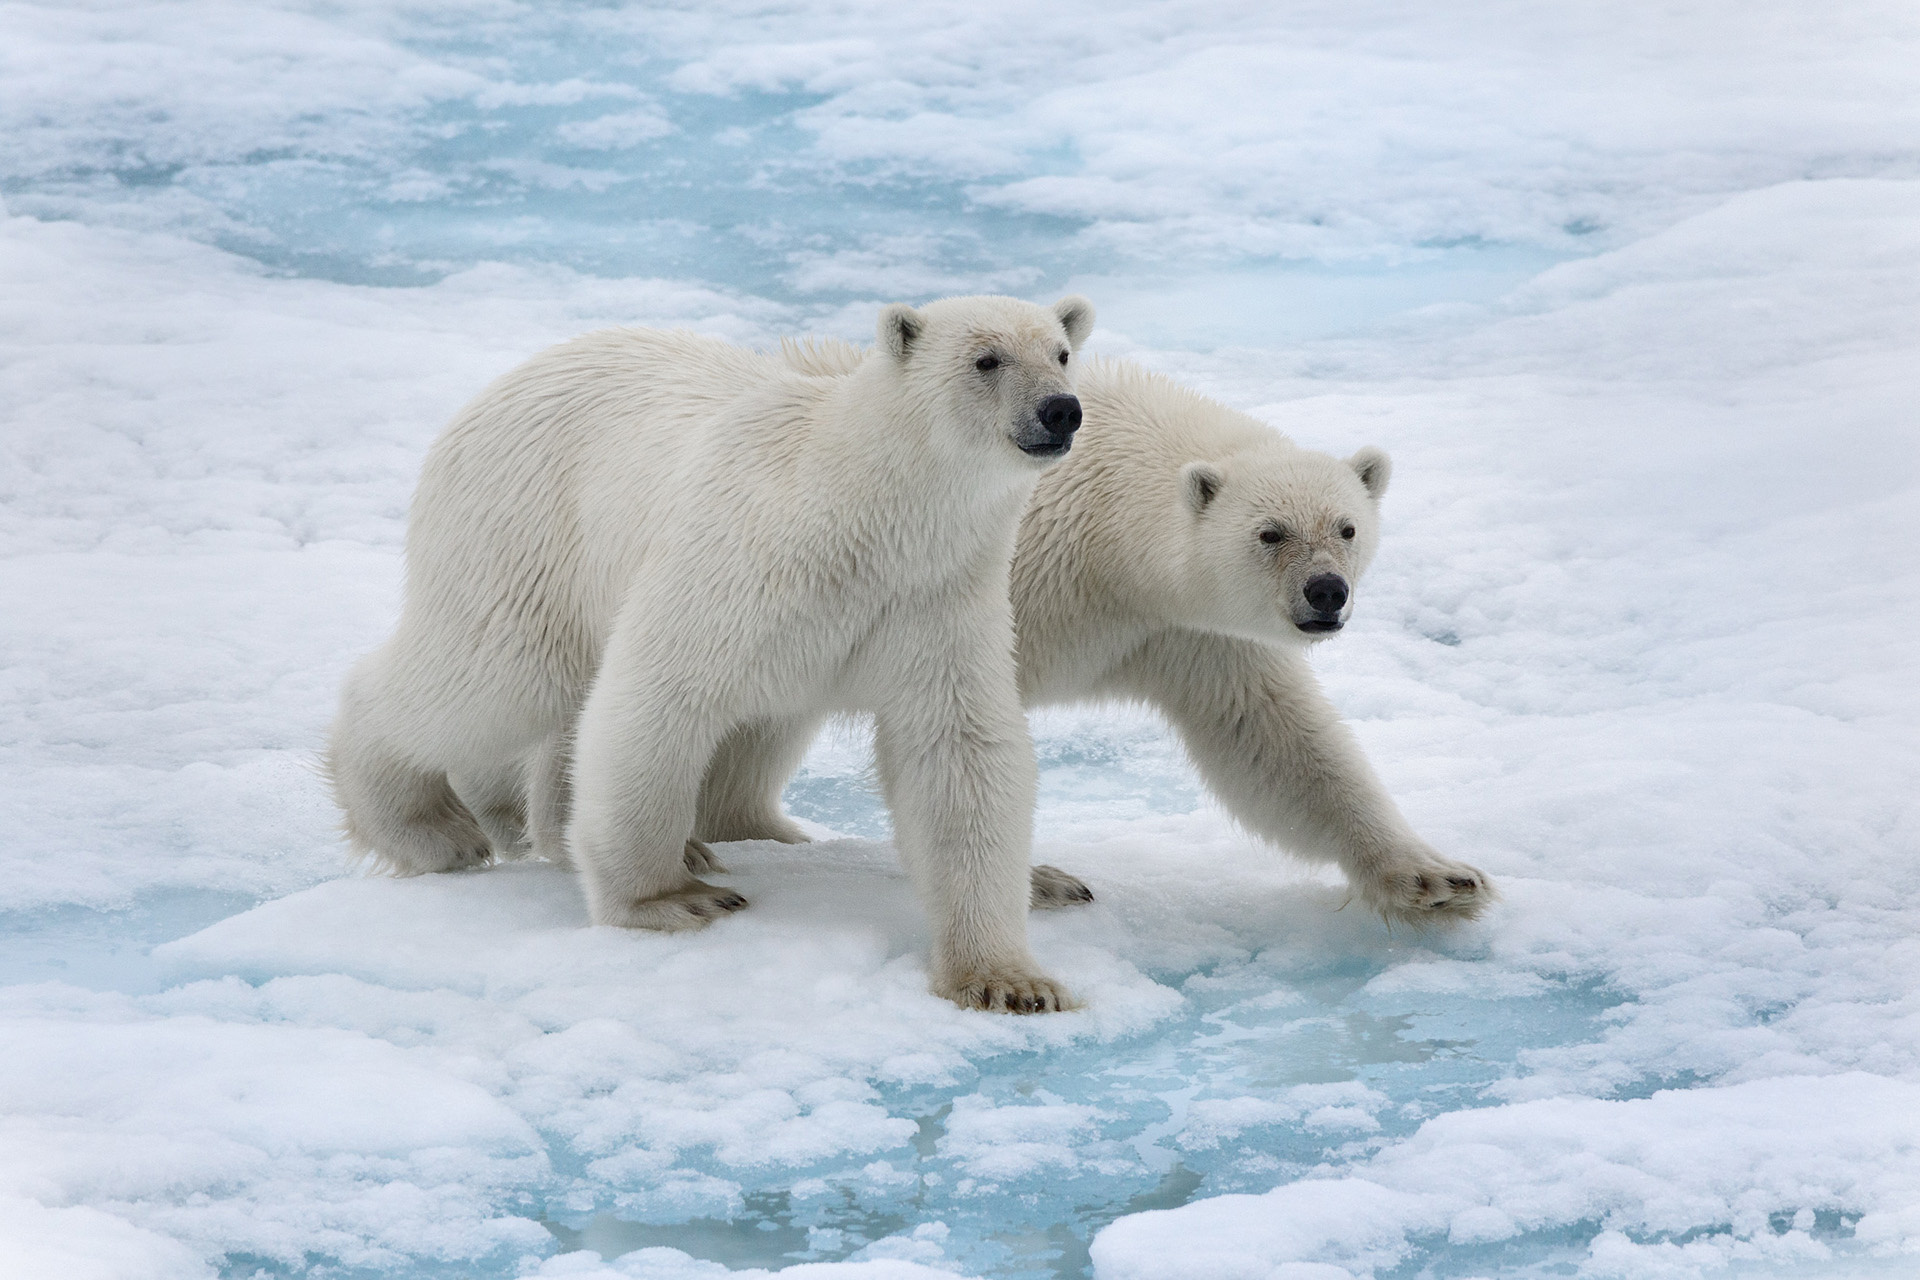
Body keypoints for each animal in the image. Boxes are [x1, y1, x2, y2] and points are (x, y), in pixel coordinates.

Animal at [330, 295, 1098, 1013]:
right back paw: (428, 828)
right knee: (486, 679)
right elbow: (659, 695)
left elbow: (960, 752)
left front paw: (1010, 980)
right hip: (522, 529)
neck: (859, 505)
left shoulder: (937, 598)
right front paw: (668, 900)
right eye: (986, 359)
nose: (1060, 411)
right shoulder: (747, 563)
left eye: (1061, 353)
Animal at [752, 347, 1497, 921]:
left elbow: (1273, 738)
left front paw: (1437, 879)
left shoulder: (1189, 631)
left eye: (1346, 528)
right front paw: (1037, 881)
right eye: (1270, 533)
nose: (1326, 592)